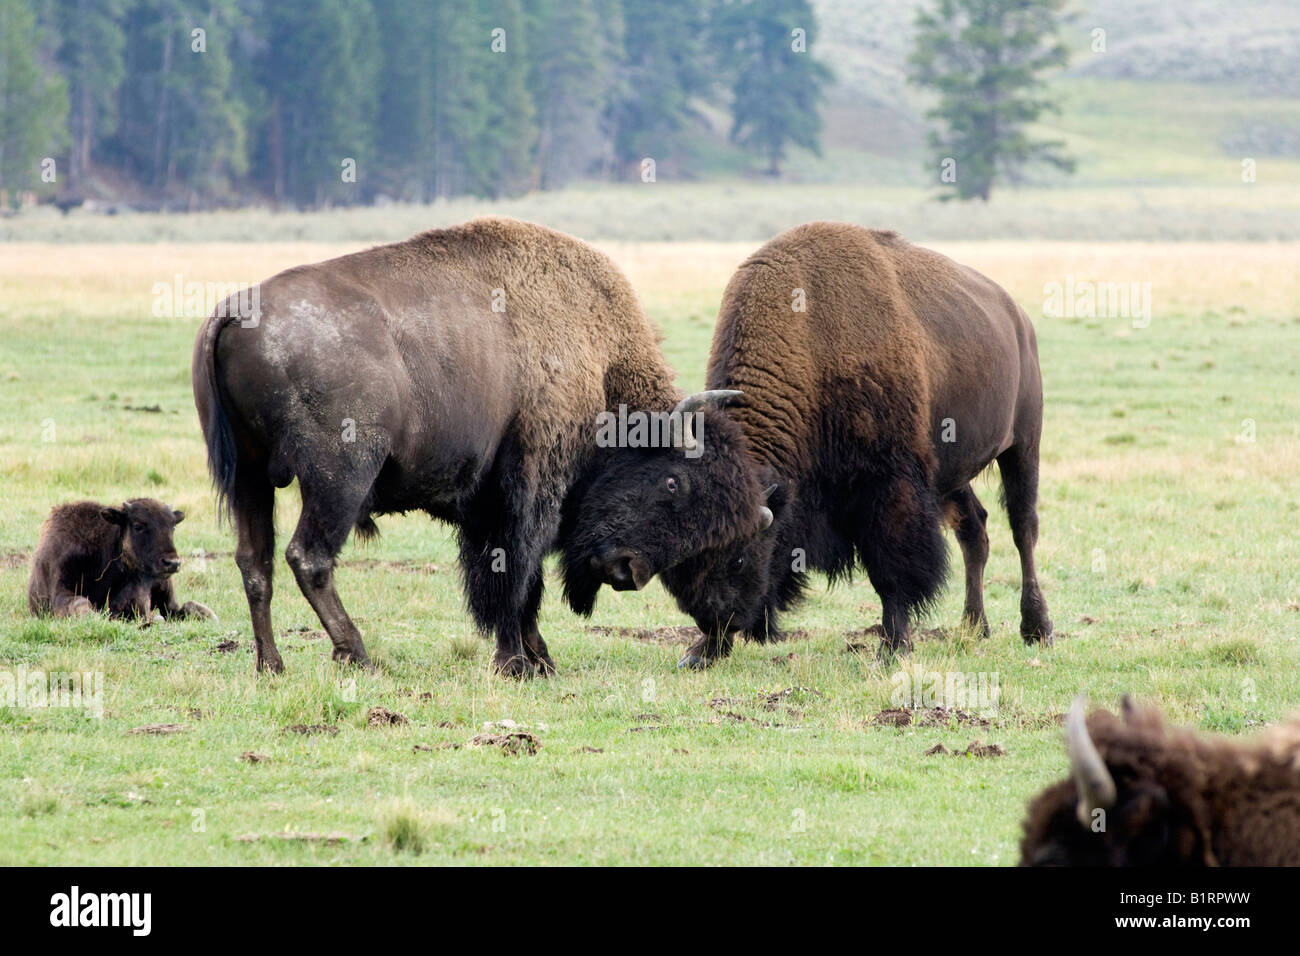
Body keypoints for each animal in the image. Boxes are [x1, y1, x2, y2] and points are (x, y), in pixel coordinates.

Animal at [192, 217, 760, 675]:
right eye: (673, 481)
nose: (628, 572)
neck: (599, 364)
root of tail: (234, 310)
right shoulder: (530, 490)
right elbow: (516, 574)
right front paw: (518, 662)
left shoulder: (488, 503)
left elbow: (512, 580)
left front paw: (539, 660)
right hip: (340, 478)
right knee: (308, 558)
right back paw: (359, 656)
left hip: (250, 477)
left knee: (255, 562)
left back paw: (271, 665)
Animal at [577, 222, 1052, 662]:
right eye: (683, 565)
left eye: (739, 557)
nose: (719, 622)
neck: (811, 335)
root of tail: (1018, 318)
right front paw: (699, 653)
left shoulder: (889, 486)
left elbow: (891, 570)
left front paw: (893, 646)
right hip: (952, 475)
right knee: (975, 529)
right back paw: (974, 627)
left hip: (1023, 445)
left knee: (1022, 527)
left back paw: (1037, 628)